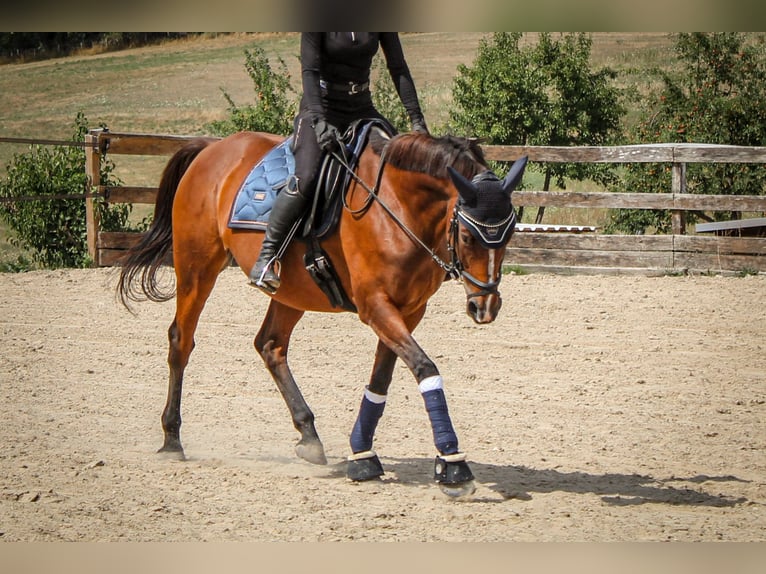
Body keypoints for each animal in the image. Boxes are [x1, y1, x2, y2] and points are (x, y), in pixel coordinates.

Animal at [118, 127, 528, 500]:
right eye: (468, 237)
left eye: (509, 233)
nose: (485, 306)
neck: (398, 206)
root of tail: (212, 148)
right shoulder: (375, 306)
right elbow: (425, 368)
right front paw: (454, 465)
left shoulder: (409, 310)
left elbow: (381, 380)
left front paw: (363, 456)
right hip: (197, 267)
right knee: (181, 341)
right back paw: (172, 438)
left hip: (290, 290)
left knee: (270, 345)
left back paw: (309, 435)